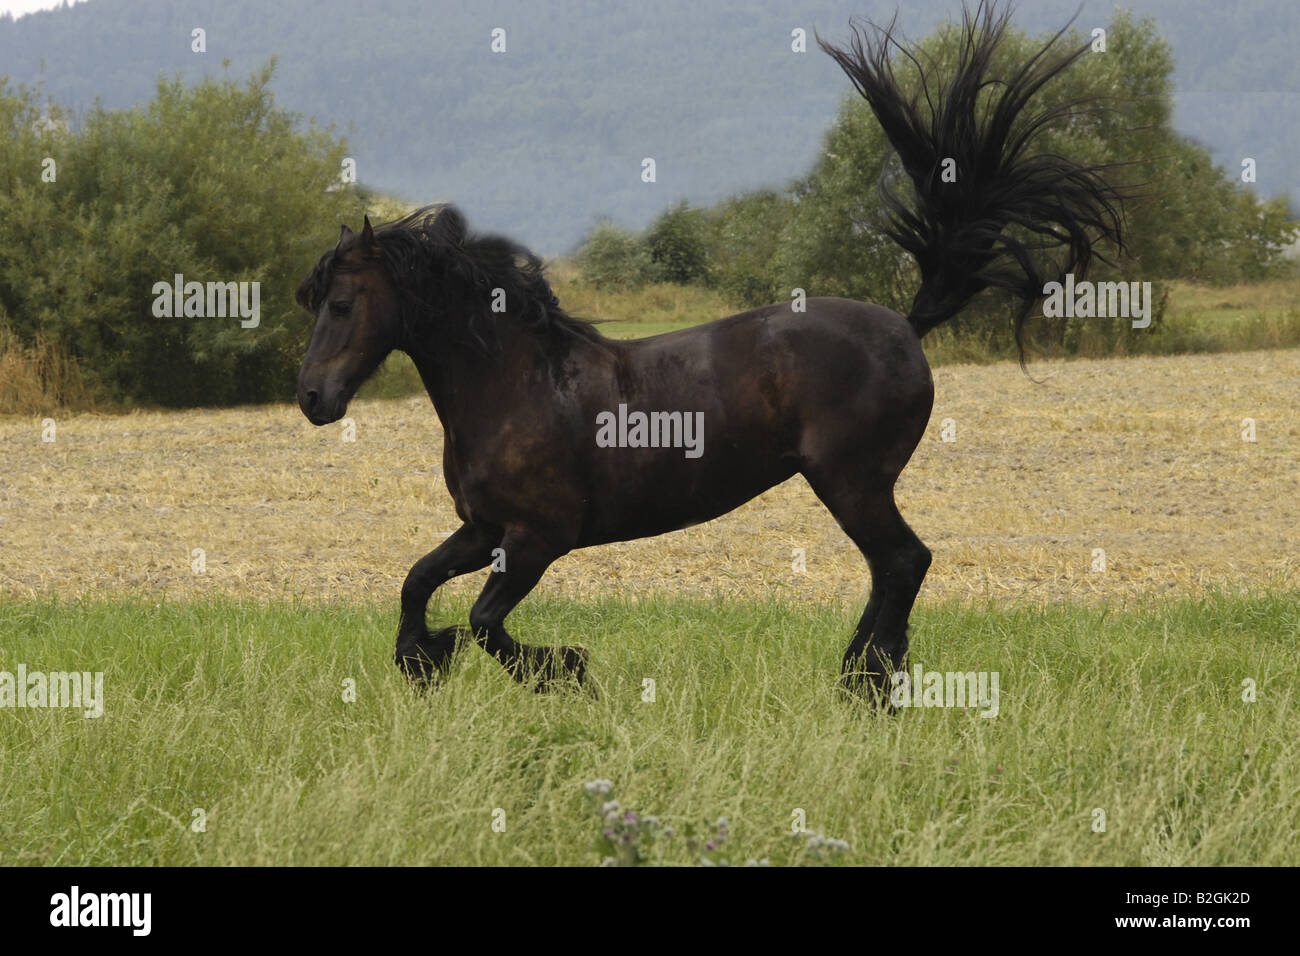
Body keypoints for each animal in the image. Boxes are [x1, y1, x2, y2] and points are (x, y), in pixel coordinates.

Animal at [295, 1, 1128, 702]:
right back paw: (858, 672)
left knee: (903, 562)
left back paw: (867, 682)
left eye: (341, 304)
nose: (311, 399)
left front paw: (564, 670)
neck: (516, 385)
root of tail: (904, 323)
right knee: (891, 569)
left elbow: (484, 623)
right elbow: (416, 582)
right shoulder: (483, 531)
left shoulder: (538, 540)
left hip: (852, 480)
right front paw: (420, 658)